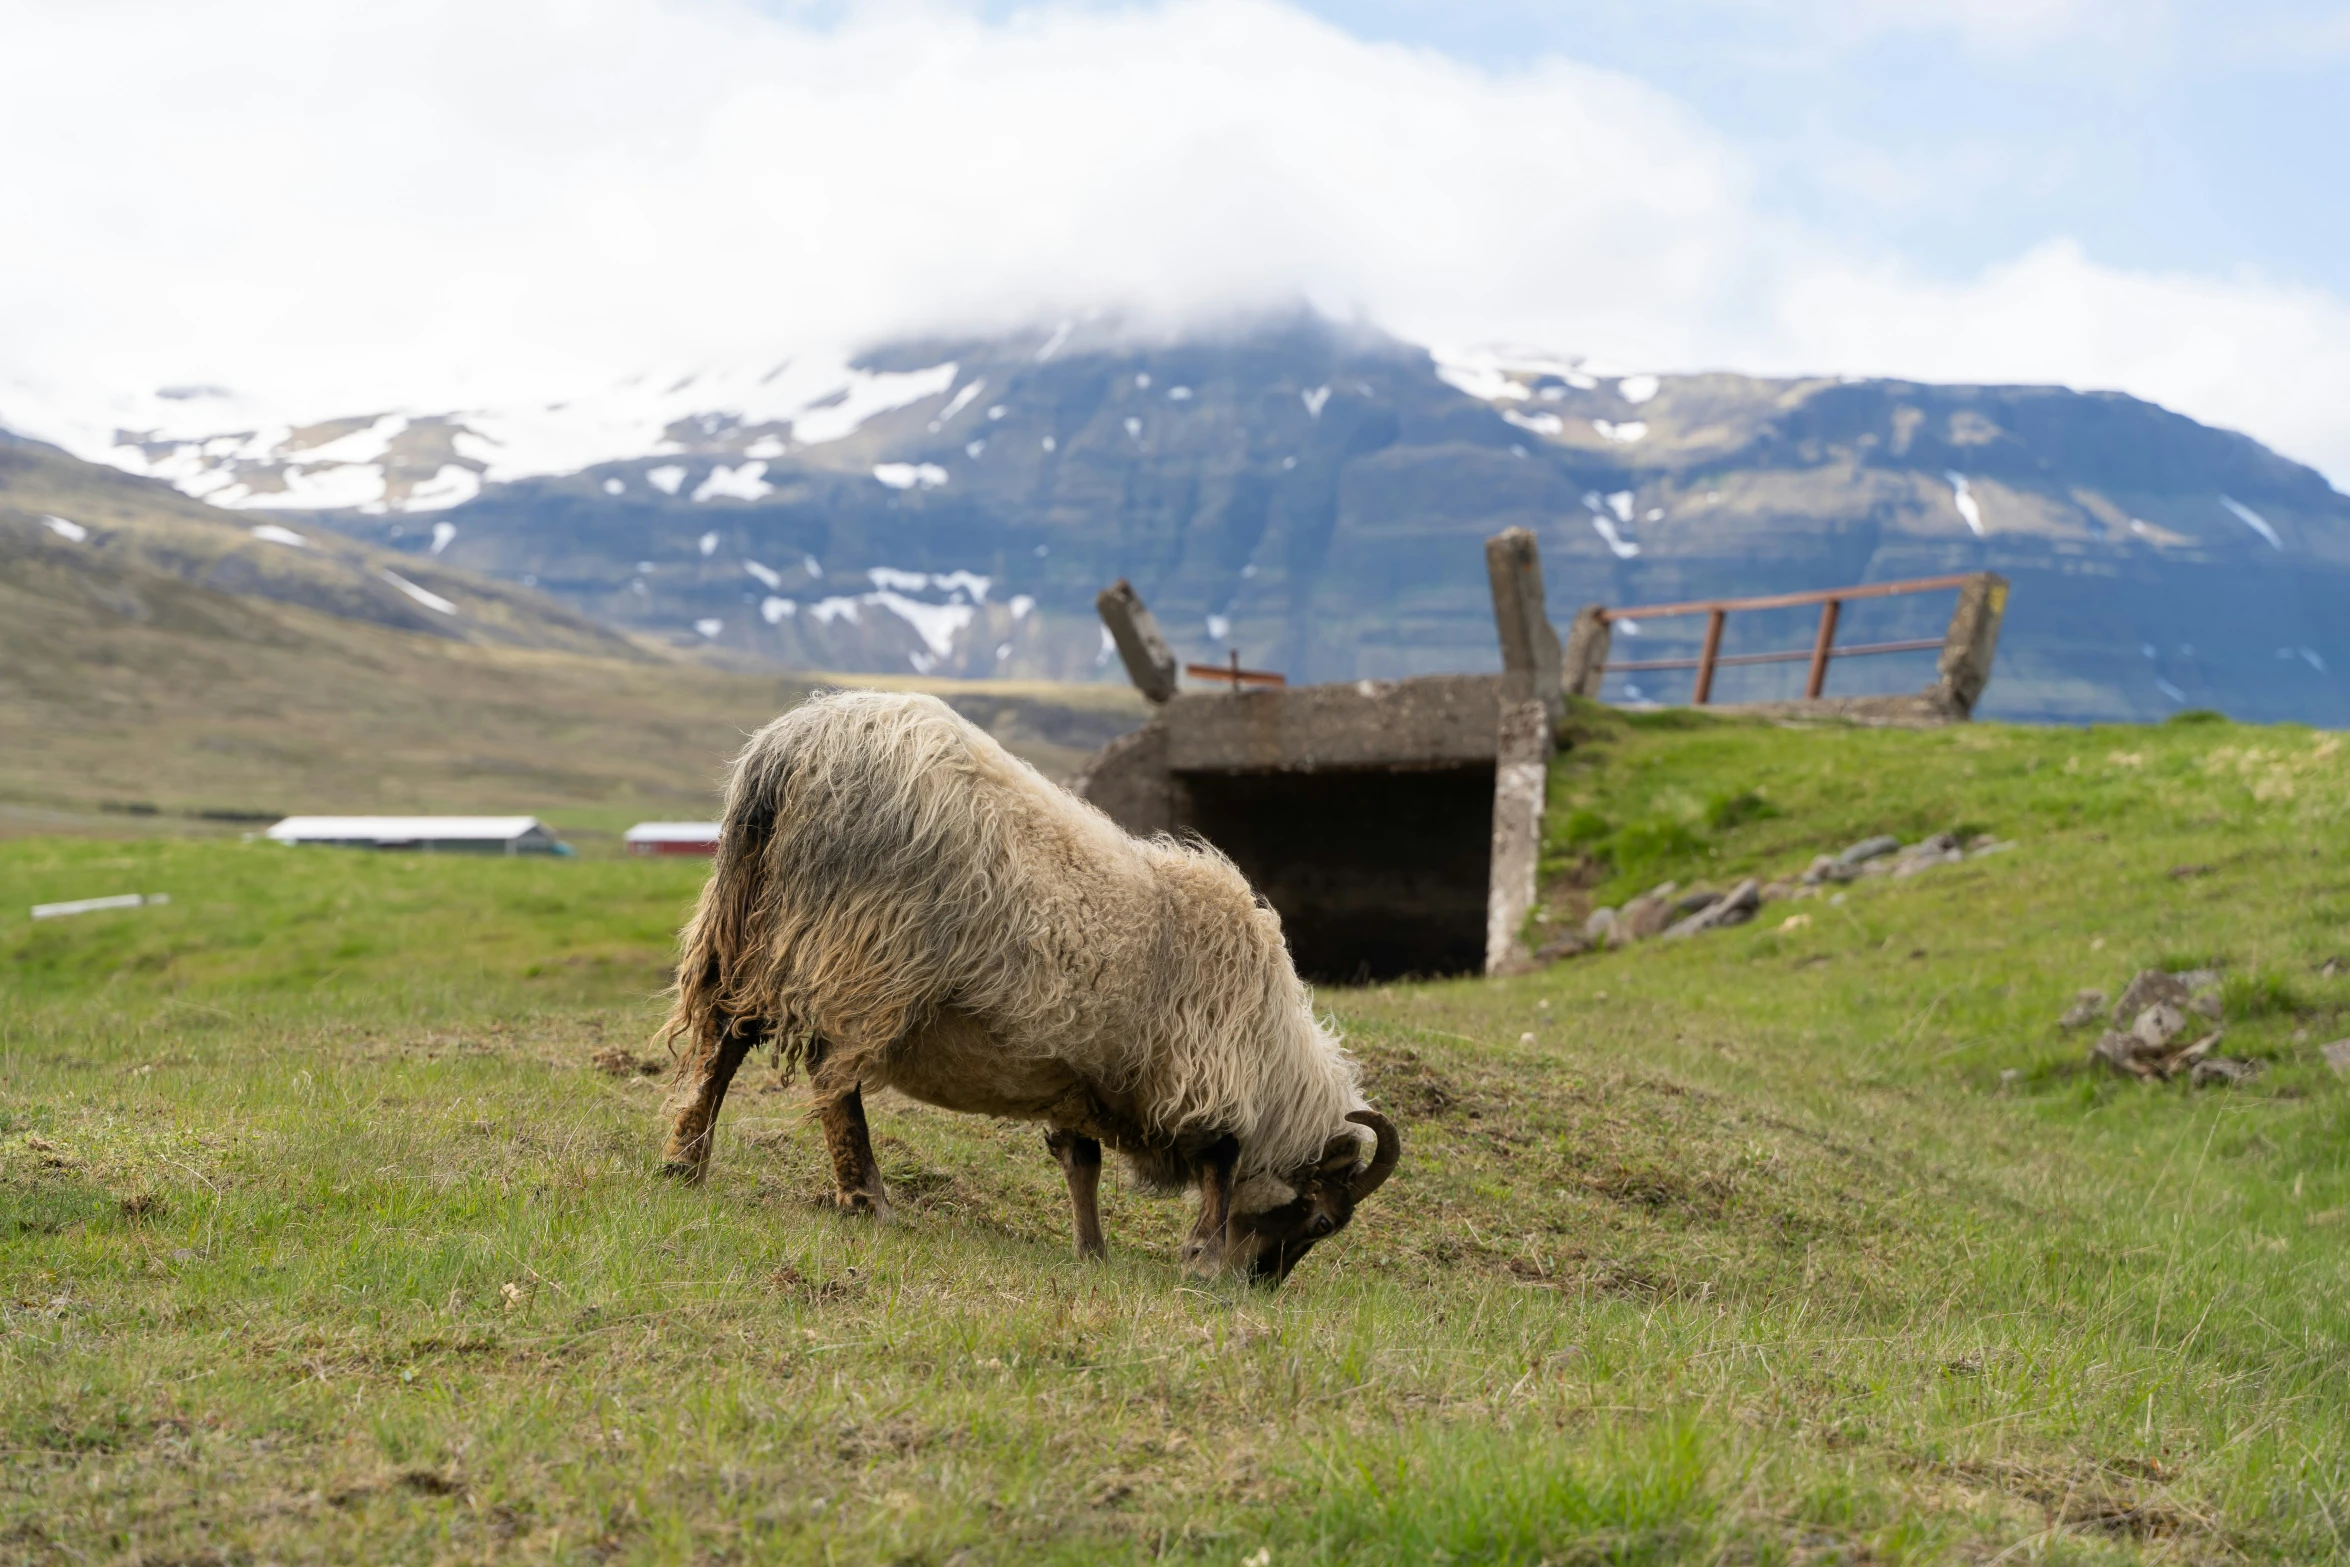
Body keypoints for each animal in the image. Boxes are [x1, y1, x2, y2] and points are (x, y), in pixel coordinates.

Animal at [662, 690, 1391, 1278]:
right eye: (1323, 1220)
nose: (1260, 1283)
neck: (1272, 1054)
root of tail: (787, 748)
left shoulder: (1080, 1075)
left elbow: (1080, 1161)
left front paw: (1092, 1251)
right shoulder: (1203, 1072)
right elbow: (1220, 1163)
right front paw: (1204, 1260)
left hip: (750, 922)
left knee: (725, 1034)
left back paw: (685, 1161)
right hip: (863, 945)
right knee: (830, 1069)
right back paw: (866, 1198)